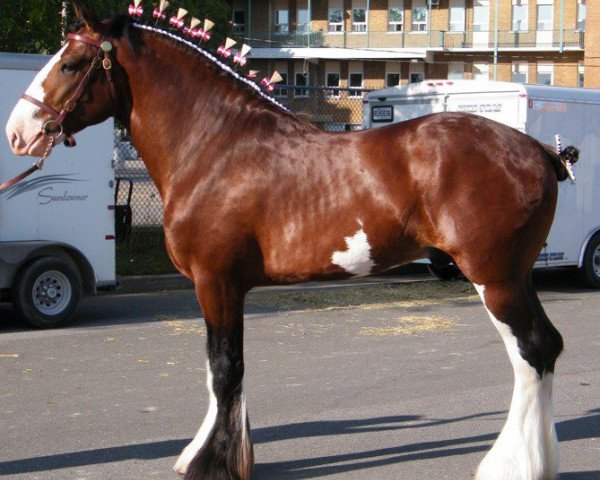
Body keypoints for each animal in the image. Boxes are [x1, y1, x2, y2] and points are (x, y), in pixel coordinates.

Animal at [4, 7, 576, 480]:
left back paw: (512, 466)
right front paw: (210, 455)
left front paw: (211, 465)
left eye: (71, 64)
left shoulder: (216, 282)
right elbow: (219, 370)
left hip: (495, 278)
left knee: (531, 352)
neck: (216, 147)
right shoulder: (225, 288)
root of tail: (537, 150)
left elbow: (224, 369)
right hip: (514, 277)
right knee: (546, 347)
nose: (17, 132)